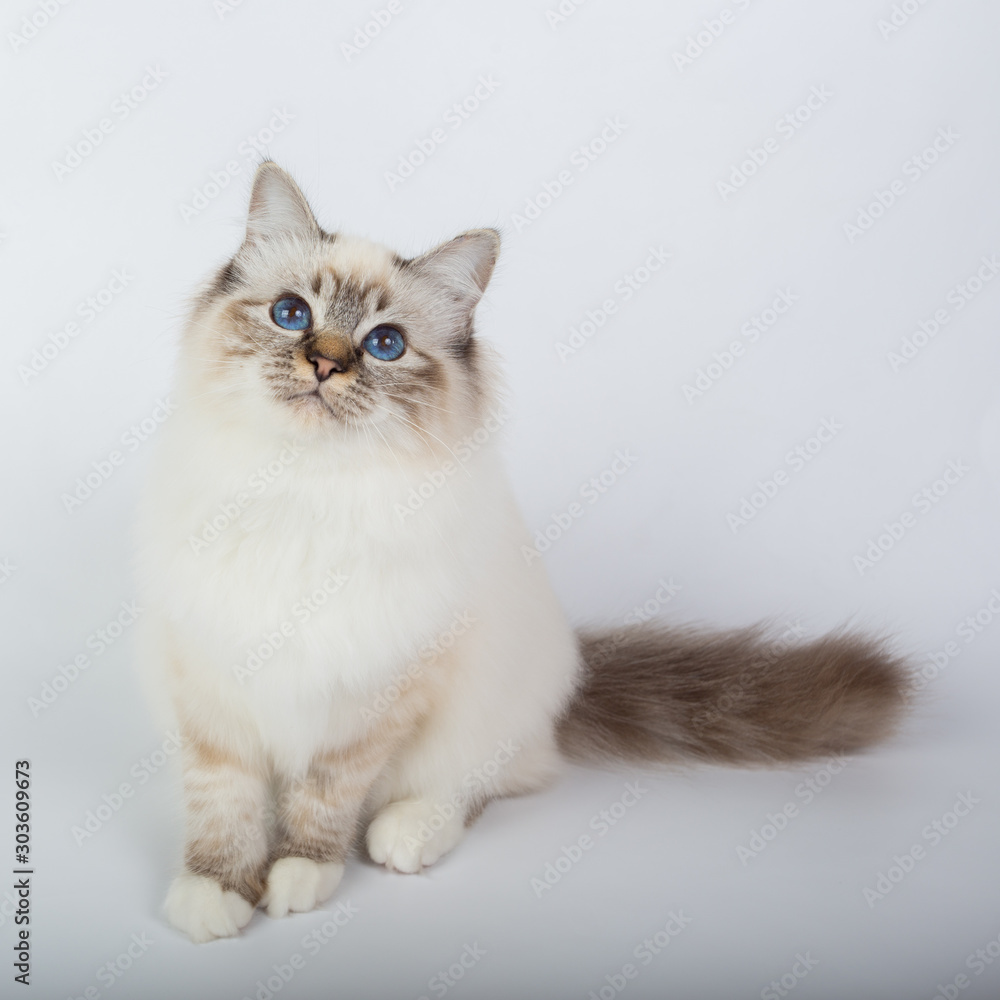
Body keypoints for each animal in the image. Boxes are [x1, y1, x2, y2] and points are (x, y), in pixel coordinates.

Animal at [137, 160, 912, 940]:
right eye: (292, 314)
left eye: (385, 345)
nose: (325, 365)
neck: (301, 492)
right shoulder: (210, 688)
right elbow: (225, 804)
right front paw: (217, 892)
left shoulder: (379, 695)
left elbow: (325, 796)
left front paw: (300, 873)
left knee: (492, 779)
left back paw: (409, 833)